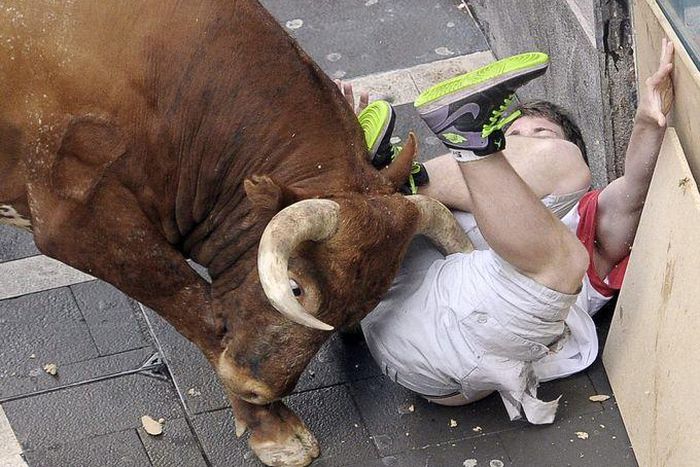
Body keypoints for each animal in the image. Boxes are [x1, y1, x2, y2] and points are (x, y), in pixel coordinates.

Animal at [0, 1, 471, 465]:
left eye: (362, 307)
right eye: (295, 288)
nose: (256, 389)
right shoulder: (77, 219)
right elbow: (194, 306)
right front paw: (274, 431)